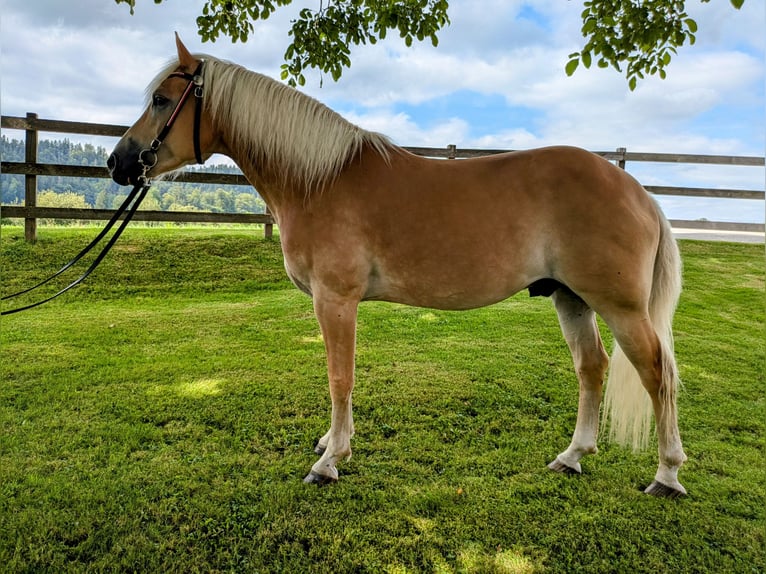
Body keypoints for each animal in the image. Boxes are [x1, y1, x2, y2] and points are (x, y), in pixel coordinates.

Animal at [108, 33, 688, 498]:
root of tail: (637, 190)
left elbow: (339, 376)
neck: (319, 180)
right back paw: (572, 457)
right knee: (592, 367)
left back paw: (667, 474)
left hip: (620, 308)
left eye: (161, 100)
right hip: (571, 298)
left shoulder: (335, 300)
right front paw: (331, 441)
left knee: (658, 373)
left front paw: (330, 460)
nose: (118, 163)